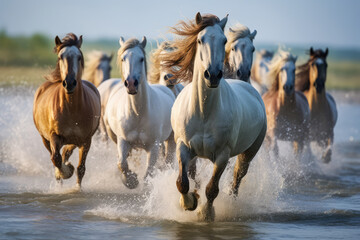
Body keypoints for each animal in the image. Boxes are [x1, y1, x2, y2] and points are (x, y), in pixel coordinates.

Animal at [32, 33, 100, 188]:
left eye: (79, 57)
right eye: (60, 57)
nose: (69, 83)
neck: (72, 108)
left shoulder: (85, 140)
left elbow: (80, 168)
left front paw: (77, 188)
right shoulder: (54, 136)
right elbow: (55, 158)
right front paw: (64, 172)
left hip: (75, 140)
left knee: (66, 151)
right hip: (44, 138)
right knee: (56, 155)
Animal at [102, 36, 175, 188]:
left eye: (141, 58)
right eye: (123, 58)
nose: (131, 83)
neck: (138, 114)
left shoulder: (153, 147)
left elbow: (149, 173)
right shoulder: (123, 141)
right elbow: (122, 163)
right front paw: (131, 180)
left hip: (170, 140)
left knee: (168, 160)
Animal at [160, 12, 268, 220]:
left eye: (224, 40)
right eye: (200, 40)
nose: (212, 75)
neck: (204, 111)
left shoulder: (222, 155)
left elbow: (212, 189)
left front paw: (205, 213)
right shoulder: (183, 146)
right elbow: (182, 182)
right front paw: (189, 202)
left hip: (248, 153)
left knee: (237, 177)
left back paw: (232, 201)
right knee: (193, 175)